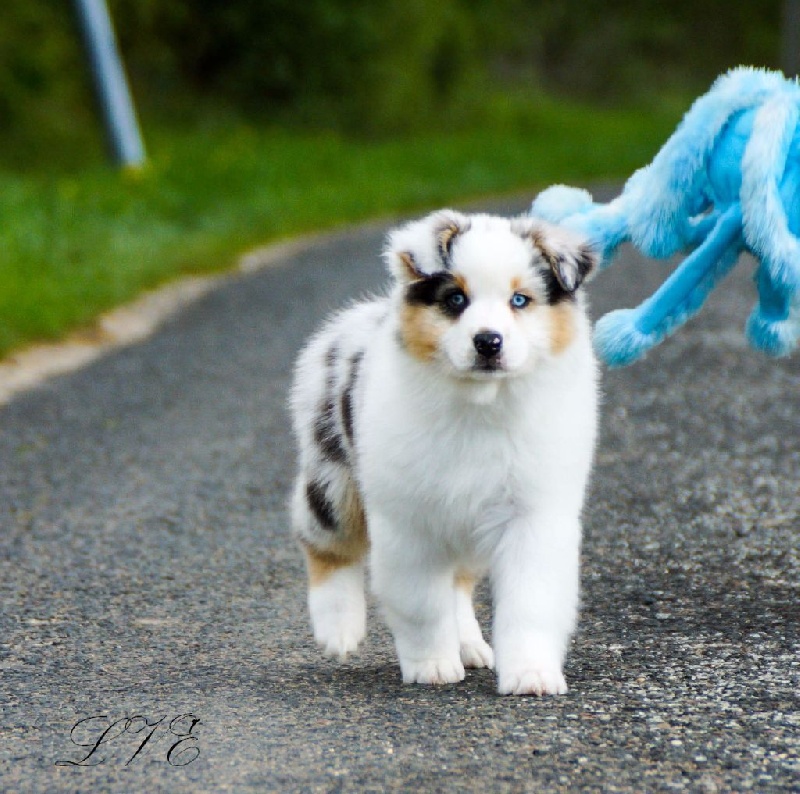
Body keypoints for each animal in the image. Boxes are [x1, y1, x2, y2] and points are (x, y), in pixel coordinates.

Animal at [290, 209, 598, 695]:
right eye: (455, 299)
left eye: (520, 300)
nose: (488, 341)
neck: (479, 406)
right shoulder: (409, 522)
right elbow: (421, 605)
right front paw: (432, 665)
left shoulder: (532, 516)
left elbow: (529, 603)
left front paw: (531, 674)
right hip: (334, 474)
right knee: (325, 543)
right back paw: (338, 627)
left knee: (457, 585)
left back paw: (469, 645)